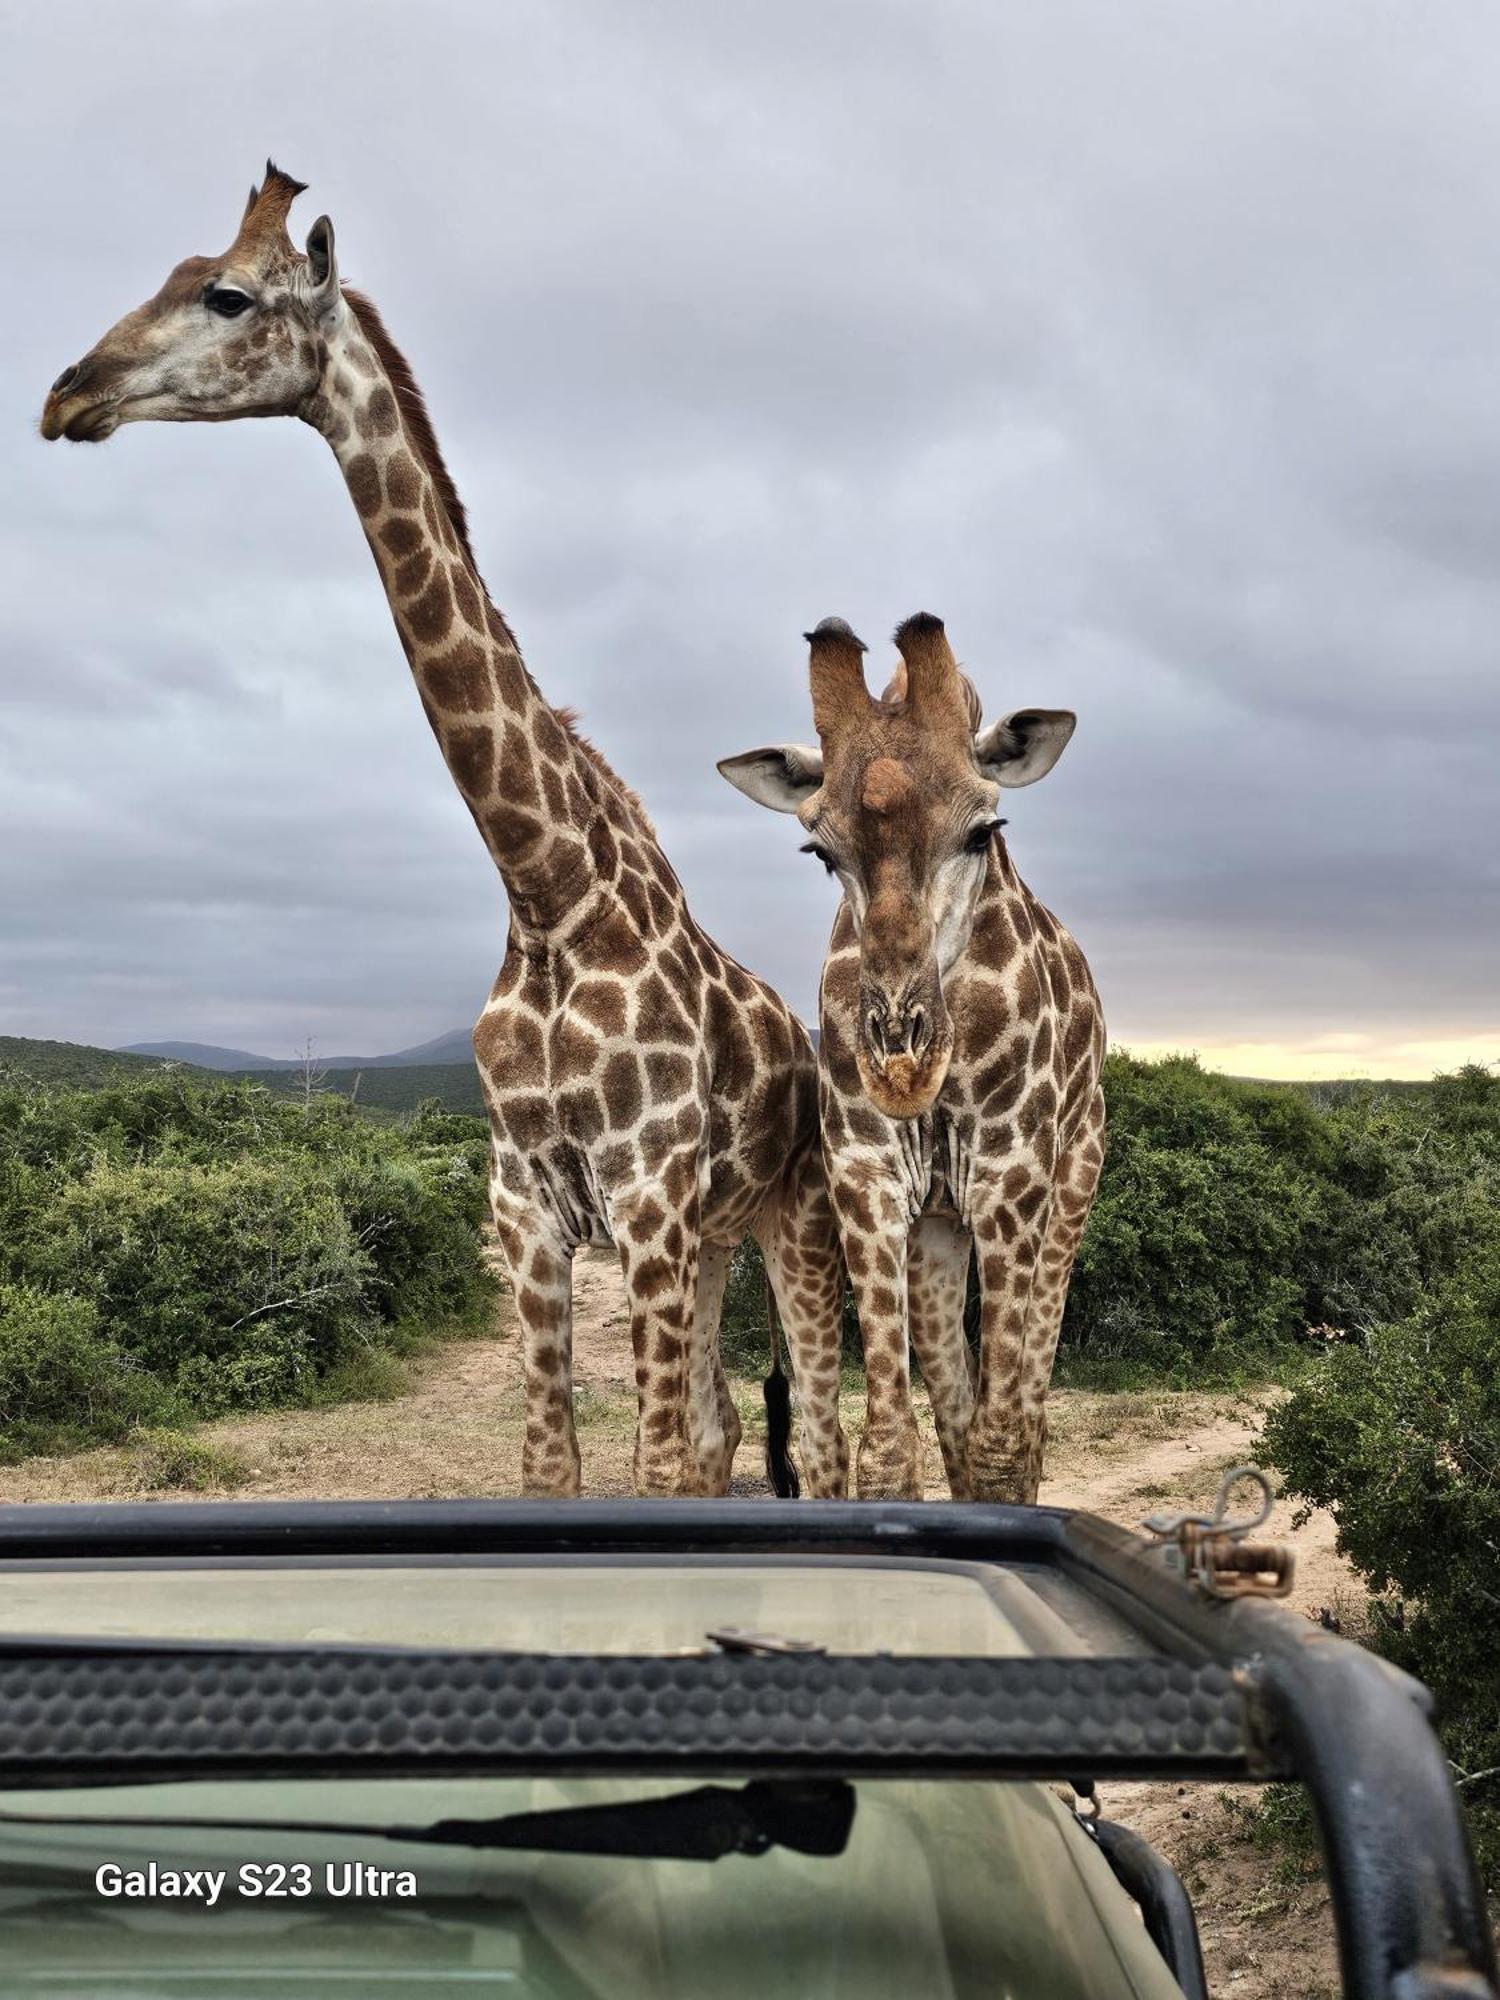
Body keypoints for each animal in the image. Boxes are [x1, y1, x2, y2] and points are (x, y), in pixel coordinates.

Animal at [41, 160, 852, 1504]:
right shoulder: (526, 1209)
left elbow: (655, 1469)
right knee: (732, 1426)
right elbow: (554, 1467)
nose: (68, 392)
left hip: (792, 1217)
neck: (547, 887)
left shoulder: (646, 1195)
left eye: (226, 295)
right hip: (715, 1239)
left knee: (830, 1437)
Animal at [724, 608, 1112, 1504]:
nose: (903, 1067)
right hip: (938, 1231)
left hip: (1072, 1184)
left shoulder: (1012, 1181)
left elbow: (1006, 1445)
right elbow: (892, 1450)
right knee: (960, 1414)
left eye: (983, 829)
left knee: (1027, 1411)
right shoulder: (865, 1181)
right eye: (820, 851)